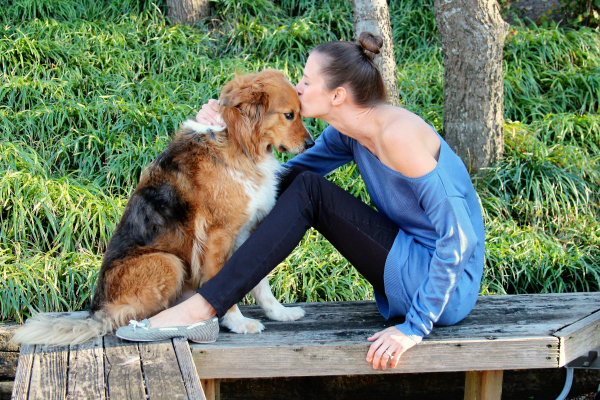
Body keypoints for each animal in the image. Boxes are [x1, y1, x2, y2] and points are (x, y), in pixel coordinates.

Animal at [10, 68, 314, 344]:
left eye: (300, 112)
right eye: (289, 115)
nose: (311, 143)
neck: (237, 141)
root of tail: (98, 311)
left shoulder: (250, 230)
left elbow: (258, 280)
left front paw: (278, 313)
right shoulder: (219, 235)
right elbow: (224, 279)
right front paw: (238, 322)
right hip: (168, 262)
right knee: (126, 316)